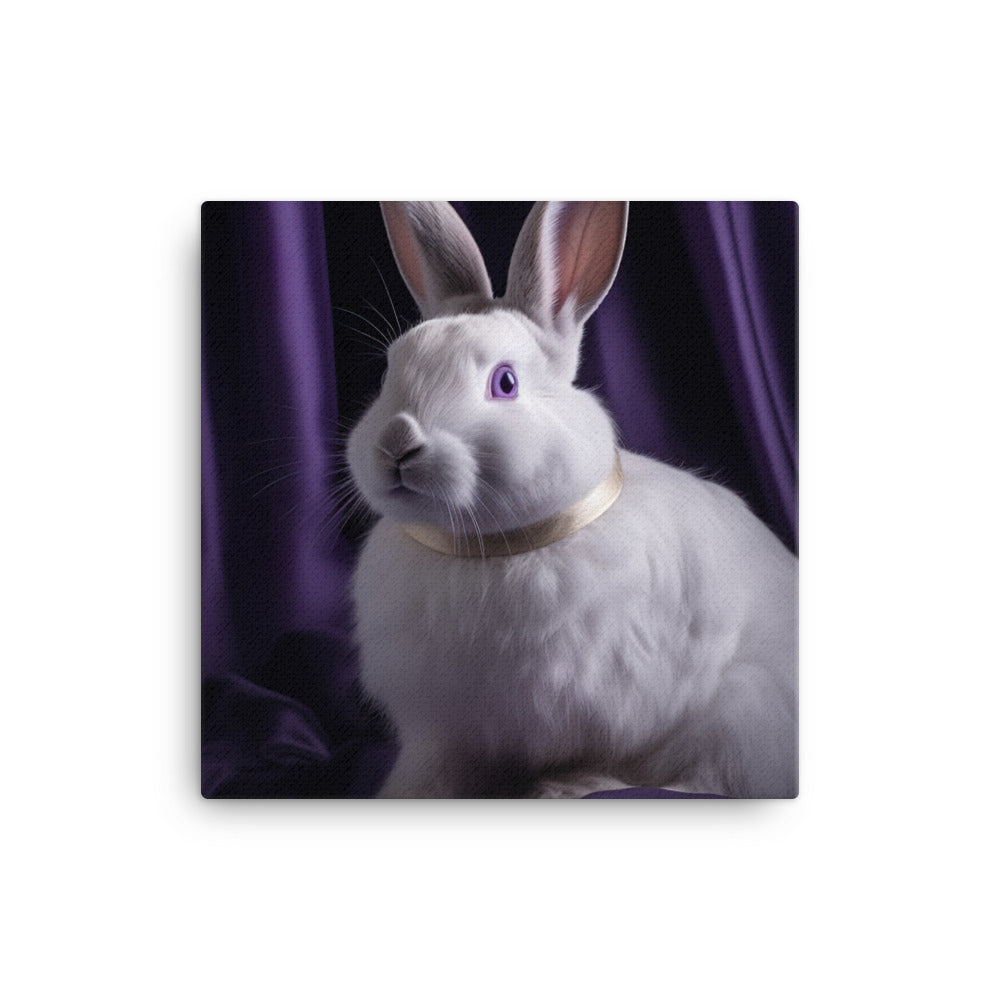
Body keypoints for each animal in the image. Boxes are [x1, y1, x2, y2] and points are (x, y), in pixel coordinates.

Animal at [346, 201, 797, 798]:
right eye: (389, 369)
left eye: (505, 383)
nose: (396, 444)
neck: (491, 545)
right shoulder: (445, 731)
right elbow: (432, 770)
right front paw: (404, 793)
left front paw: (564, 783)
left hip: (747, 707)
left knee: (707, 777)